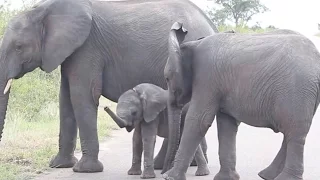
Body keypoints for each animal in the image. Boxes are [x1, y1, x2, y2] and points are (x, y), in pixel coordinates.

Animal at [0, 0, 218, 173]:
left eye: (19, 47)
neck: (41, 9)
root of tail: (211, 26)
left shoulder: (87, 48)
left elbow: (81, 96)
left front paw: (85, 170)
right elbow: (65, 98)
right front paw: (59, 165)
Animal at [162, 22, 320, 180]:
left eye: (167, 79)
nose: (163, 172)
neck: (193, 44)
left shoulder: (207, 78)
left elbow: (199, 120)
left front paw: (171, 177)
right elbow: (227, 124)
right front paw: (226, 178)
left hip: (298, 89)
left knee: (294, 132)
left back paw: (282, 177)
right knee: (290, 132)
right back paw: (267, 175)